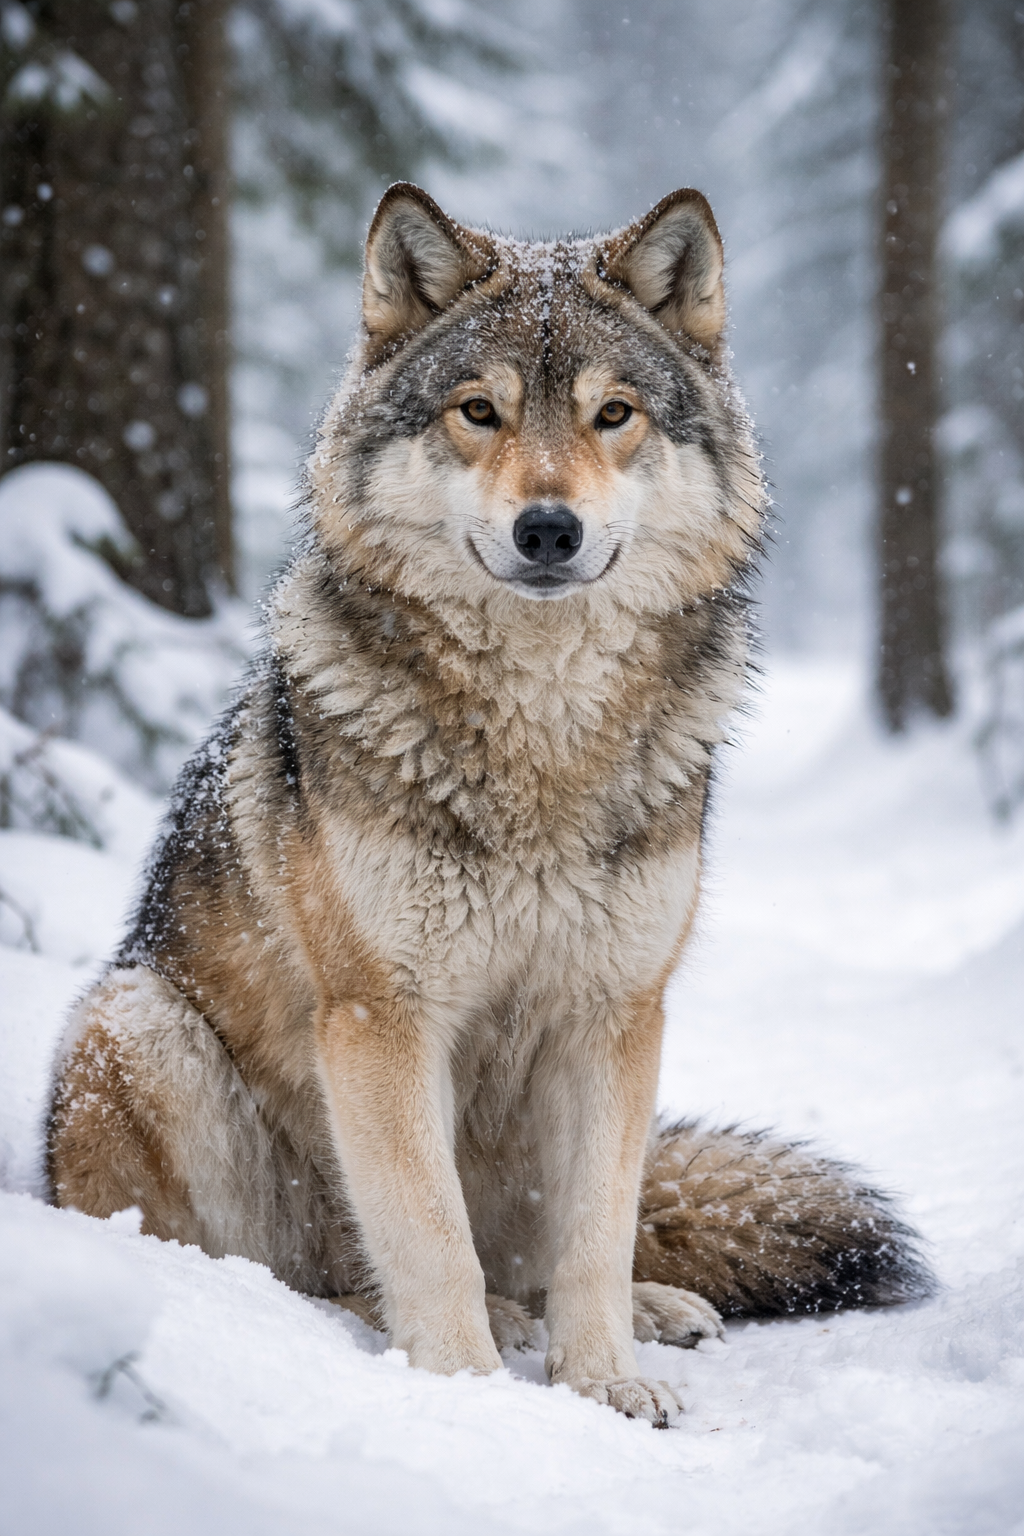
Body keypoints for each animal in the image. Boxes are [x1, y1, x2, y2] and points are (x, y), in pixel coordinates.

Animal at [49, 184, 931, 1426]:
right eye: (479, 411)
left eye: (612, 416)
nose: (548, 529)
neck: (539, 732)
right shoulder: (383, 1017)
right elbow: (429, 1238)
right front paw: (467, 1394)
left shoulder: (617, 1014)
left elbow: (596, 1233)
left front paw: (605, 1380)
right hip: (136, 1024)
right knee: (295, 1271)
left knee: (580, 1238)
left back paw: (642, 1308)